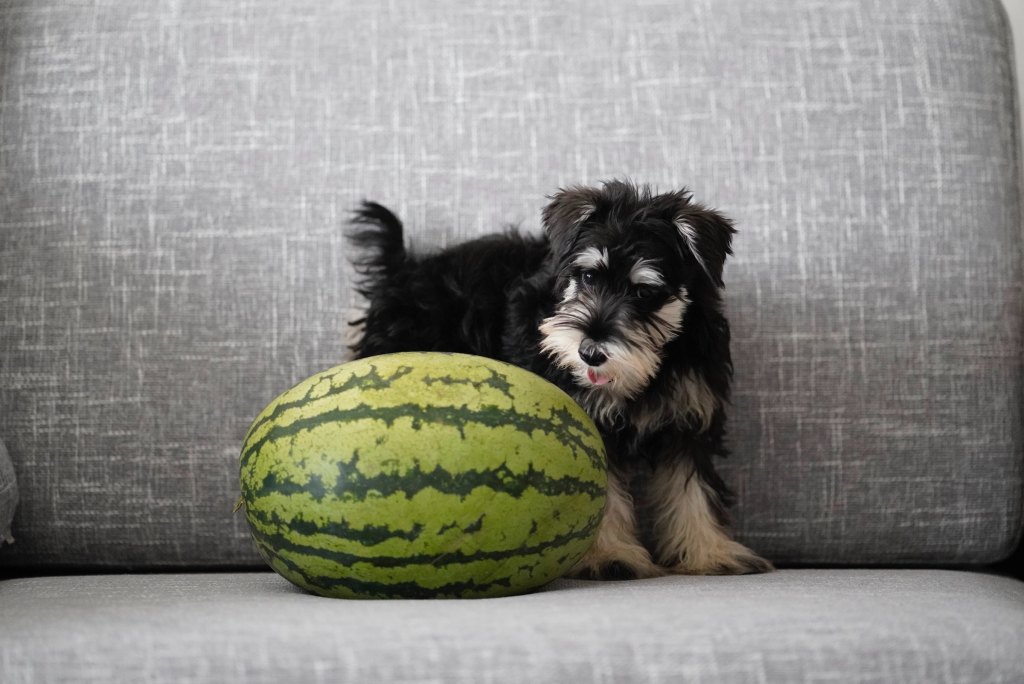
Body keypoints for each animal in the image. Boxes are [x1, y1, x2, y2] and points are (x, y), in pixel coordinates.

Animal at [348, 180, 770, 577]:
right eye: (588, 275)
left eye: (644, 292)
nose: (590, 353)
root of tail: (402, 270)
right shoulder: (587, 425)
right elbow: (604, 497)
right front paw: (608, 557)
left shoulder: (689, 419)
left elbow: (694, 492)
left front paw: (710, 553)